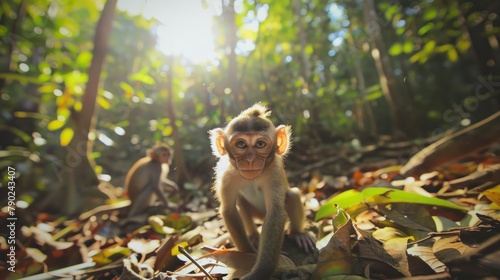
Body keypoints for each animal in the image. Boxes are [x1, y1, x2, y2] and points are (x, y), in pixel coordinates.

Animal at [209, 104, 314, 278]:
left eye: (260, 144)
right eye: (241, 145)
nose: (250, 160)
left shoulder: (274, 172)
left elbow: (275, 213)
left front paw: (260, 271)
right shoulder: (226, 175)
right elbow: (228, 210)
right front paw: (248, 254)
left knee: (292, 195)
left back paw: (298, 234)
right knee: (241, 203)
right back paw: (253, 236)